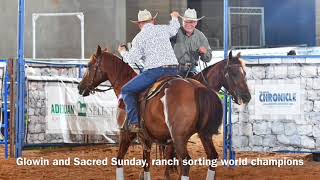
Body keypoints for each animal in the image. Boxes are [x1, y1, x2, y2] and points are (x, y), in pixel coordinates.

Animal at [77, 45, 222, 179]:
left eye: (89, 65)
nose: (79, 87)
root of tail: (197, 88)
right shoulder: (146, 139)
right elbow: (146, 165)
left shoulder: (125, 134)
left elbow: (119, 160)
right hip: (204, 134)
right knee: (212, 156)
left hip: (179, 138)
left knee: (185, 162)